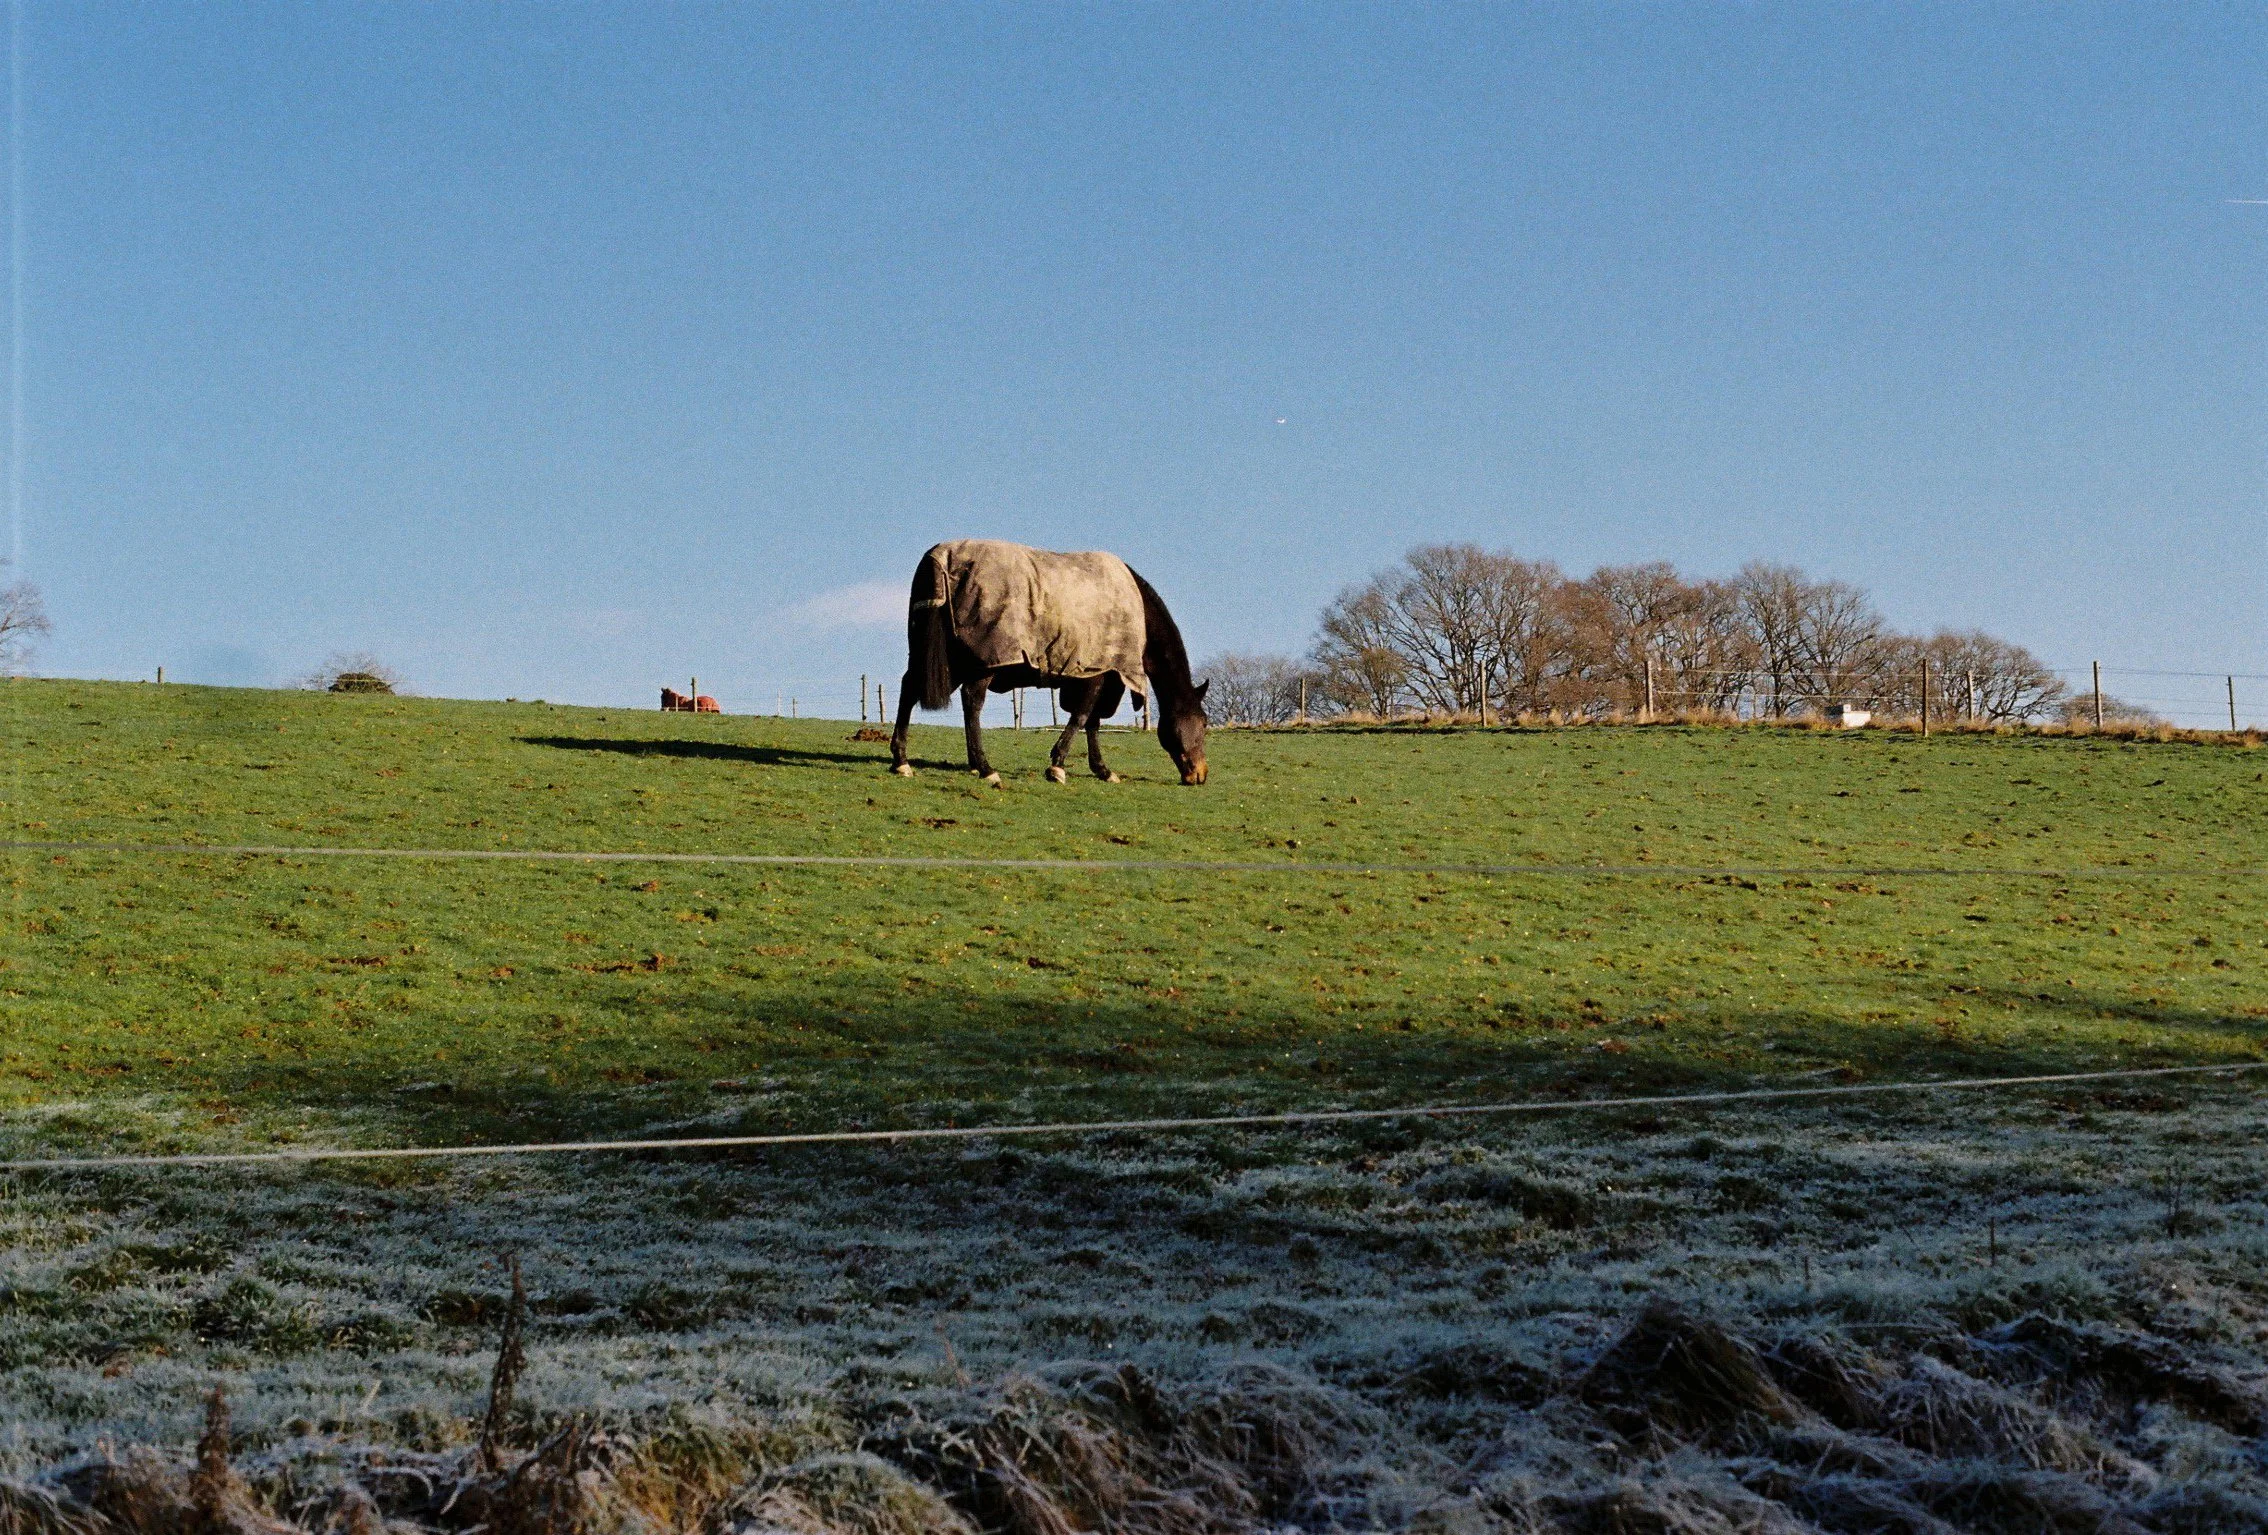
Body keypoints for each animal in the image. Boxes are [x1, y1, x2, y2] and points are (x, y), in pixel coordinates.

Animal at [888, 540, 1209, 786]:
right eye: (1205, 723)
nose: (1200, 774)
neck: (1137, 611)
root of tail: (940, 556)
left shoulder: (1094, 674)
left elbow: (1092, 722)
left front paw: (1101, 769)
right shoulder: (1099, 672)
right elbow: (1082, 716)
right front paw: (1058, 766)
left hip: (943, 658)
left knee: (909, 688)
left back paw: (901, 759)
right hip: (981, 662)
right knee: (972, 702)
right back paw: (985, 767)